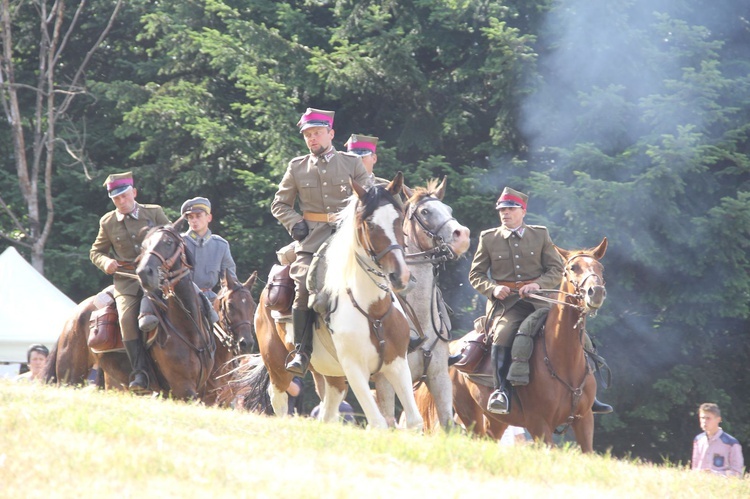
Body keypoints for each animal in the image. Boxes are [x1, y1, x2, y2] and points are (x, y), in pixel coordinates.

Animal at [244, 173, 426, 430]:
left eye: (399, 220)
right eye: (370, 224)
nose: (399, 275)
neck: (372, 311)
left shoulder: (397, 365)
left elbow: (414, 421)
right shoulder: (354, 369)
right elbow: (378, 423)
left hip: (332, 376)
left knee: (327, 411)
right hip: (278, 367)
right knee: (278, 400)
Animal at [374, 179, 472, 430]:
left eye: (448, 209)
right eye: (425, 212)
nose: (463, 236)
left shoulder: (439, 378)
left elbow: (447, 423)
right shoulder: (386, 380)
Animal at [420, 236, 608, 452]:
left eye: (600, 268)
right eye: (572, 268)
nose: (596, 292)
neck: (563, 361)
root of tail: (454, 347)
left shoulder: (584, 421)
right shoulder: (539, 425)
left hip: (496, 420)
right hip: (469, 414)